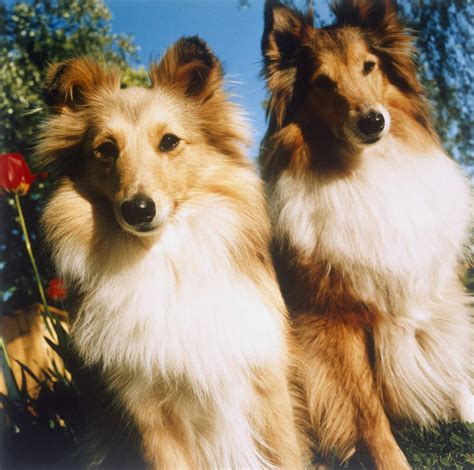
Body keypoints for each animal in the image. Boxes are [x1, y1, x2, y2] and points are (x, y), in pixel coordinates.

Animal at [37, 36, 306, 470]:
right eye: (105, 150)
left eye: (169, 142)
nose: (138, 210)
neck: (165, 260)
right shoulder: (150, 416)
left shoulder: (268, 388)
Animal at [262, 0, 472, 470]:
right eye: (322, 82)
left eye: (369, 66)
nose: (373, 121)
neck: (367, 168)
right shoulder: (334, 321)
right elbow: (368, 413)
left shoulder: (433, 293)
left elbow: (455, 359)